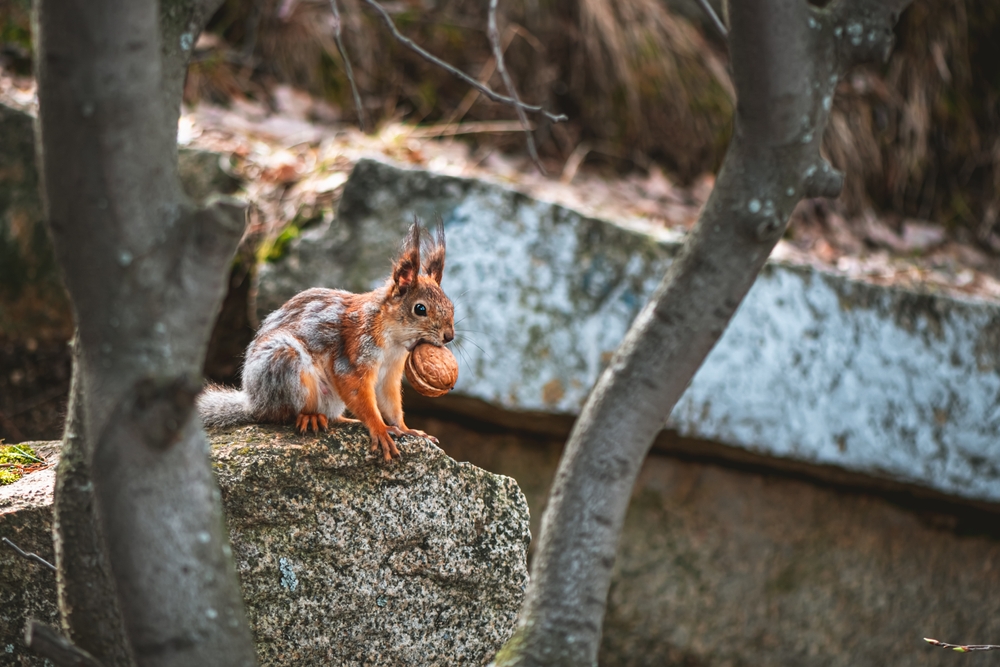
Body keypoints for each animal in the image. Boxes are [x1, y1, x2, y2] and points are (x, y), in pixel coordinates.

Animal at [197, 222, 455, 461]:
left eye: (451, 305)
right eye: (420, 309)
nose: (449, 336)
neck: (393, 340)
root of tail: (254, 402)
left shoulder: (390, 373)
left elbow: (390, 403)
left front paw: (407, 429)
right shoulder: (353, 354)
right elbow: (358, 393)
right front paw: (380, 429)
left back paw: (345, 420)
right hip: (282, 363)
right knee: (282, 414)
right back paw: (309, 416)